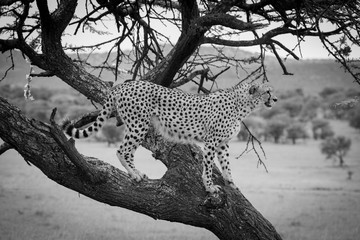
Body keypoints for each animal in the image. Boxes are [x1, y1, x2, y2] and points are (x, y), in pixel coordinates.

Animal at [62, 80, 278, 193]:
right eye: (267, 92)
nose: (276, 99)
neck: (243, 104)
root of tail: (126, 84)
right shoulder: (211, 142)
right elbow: (208, 167)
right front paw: (209, 187)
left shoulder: (223, 143)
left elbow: (226, 165)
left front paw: (231, 183)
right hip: (138, 125)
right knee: (122, 150)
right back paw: (134, 174)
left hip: (136, 125)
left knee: (126, 150)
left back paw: (136, 172)